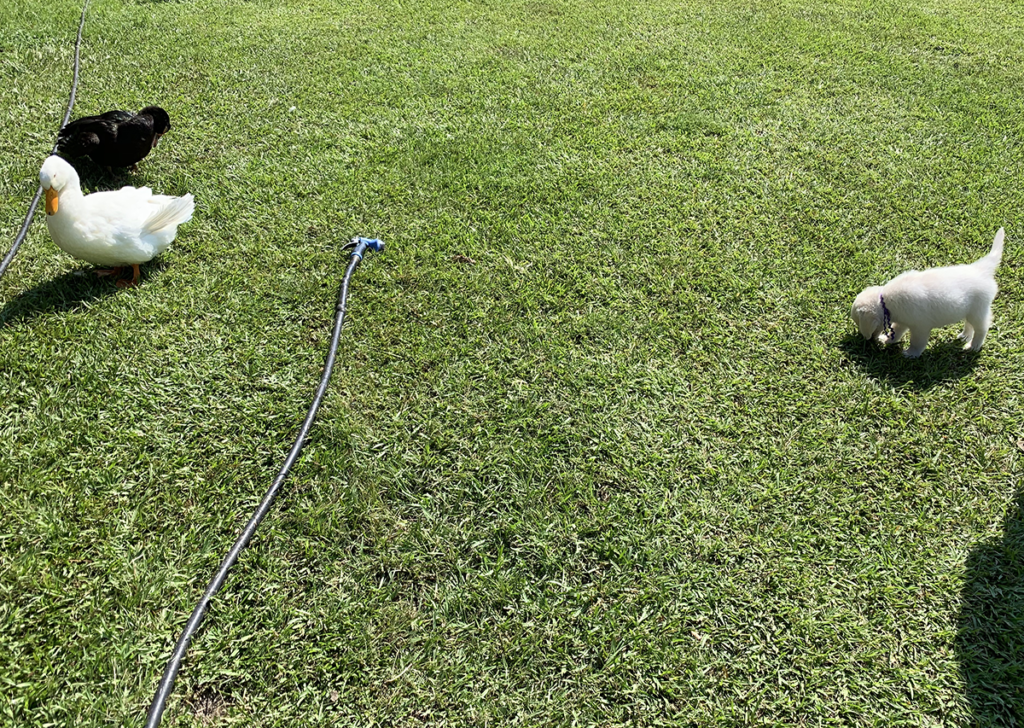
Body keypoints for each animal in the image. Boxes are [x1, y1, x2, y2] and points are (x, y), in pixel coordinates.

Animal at [847, 225, 1007, 356]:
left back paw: (973, 346)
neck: (885, 302)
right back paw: (965, 336)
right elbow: (896, 332)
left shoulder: (920, 327)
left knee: (981, 329)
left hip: (978, 311)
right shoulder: (903, 321)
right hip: (969, 311)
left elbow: (917, 342)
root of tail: (981, 269)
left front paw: (911, 354)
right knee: (969, 325)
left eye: (858, 323)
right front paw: (887, 340)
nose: (867, 340)